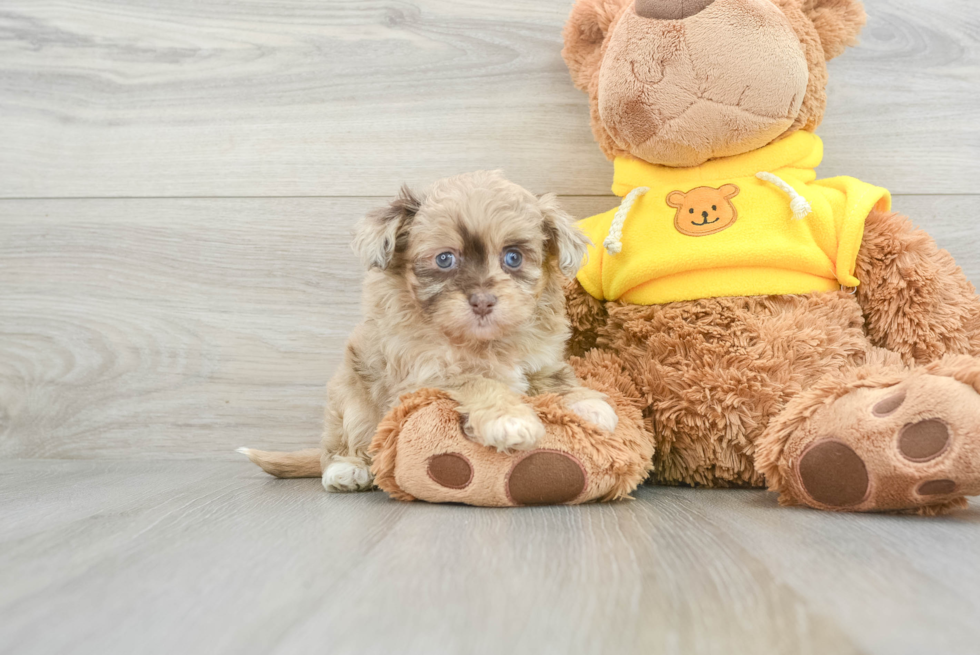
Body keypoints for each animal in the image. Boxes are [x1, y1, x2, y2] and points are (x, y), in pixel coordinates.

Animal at [240, 172, 616, 494]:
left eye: (513, 257)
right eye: (445, 259)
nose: (483, 300)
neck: (482, 342)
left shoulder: (541, 362)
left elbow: (560, 381)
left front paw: (590, 403)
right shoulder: (427, 376)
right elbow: (480, 381)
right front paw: (509, 418)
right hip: (350, 400)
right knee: (342, 442)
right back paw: (346, 469)